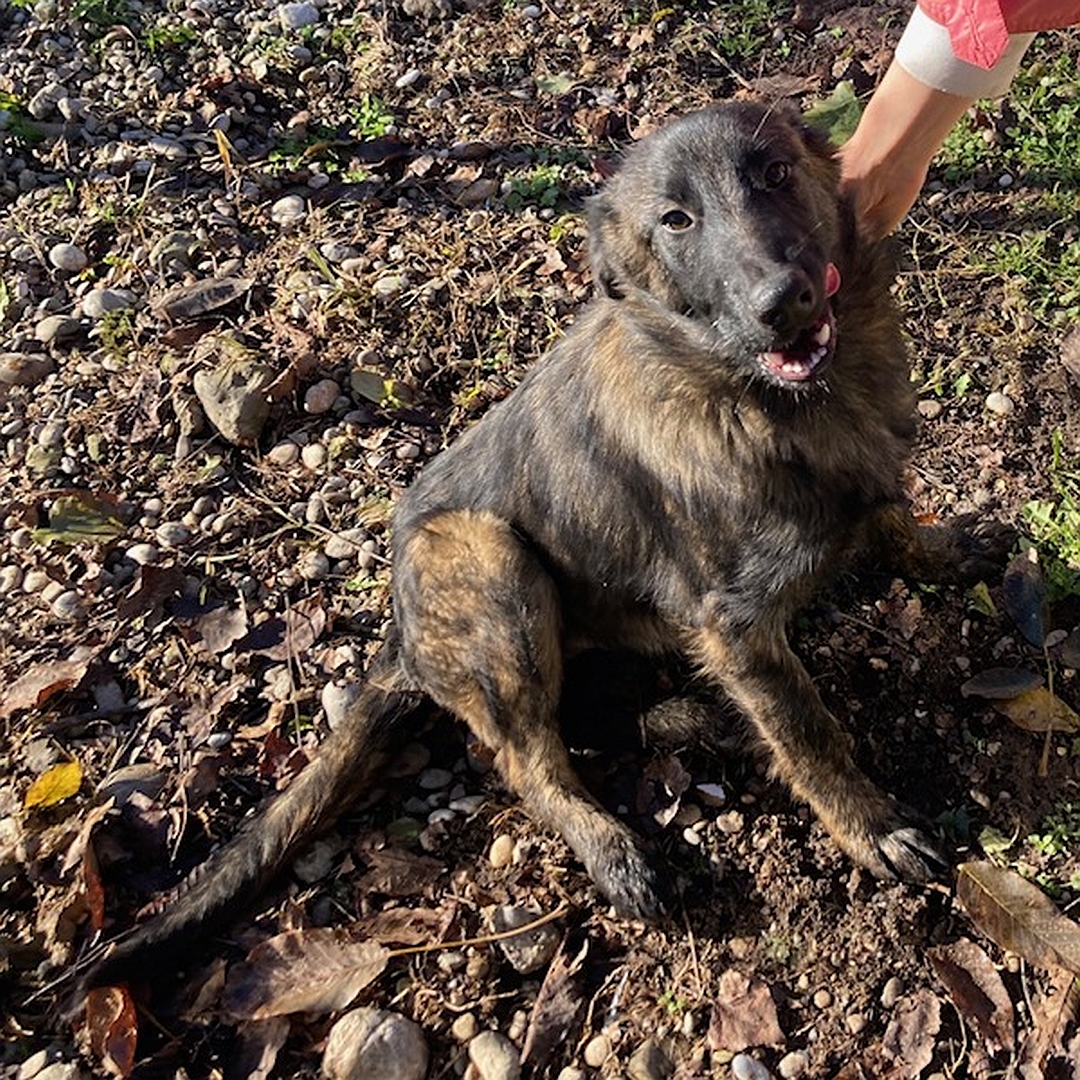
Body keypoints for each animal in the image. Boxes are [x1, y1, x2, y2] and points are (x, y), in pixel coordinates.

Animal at [84, 101, 1002, 989]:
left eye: (776, 173)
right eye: (676, 219)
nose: (786, 302)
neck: (762, 398)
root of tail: (399, 640)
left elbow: (892, 522)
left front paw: (943, 552)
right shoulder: (734, 627)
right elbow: (812, 736)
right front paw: (871, 828)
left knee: (591, 716)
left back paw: (697, 717)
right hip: (489, 557)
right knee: (527, 758)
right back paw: (614, 847)